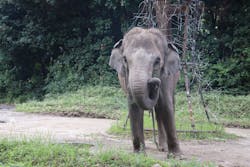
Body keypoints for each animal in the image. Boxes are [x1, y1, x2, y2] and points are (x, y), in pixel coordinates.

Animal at [108, 26, 181, 155]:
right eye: (125, 59)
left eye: (157, 61)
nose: (154, 82)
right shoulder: (127, 77)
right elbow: (133, 105)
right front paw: (139, 154)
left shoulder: (166, 76)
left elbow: (165, 105)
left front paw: (177, 156)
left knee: (163, 107)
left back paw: (163, 148)